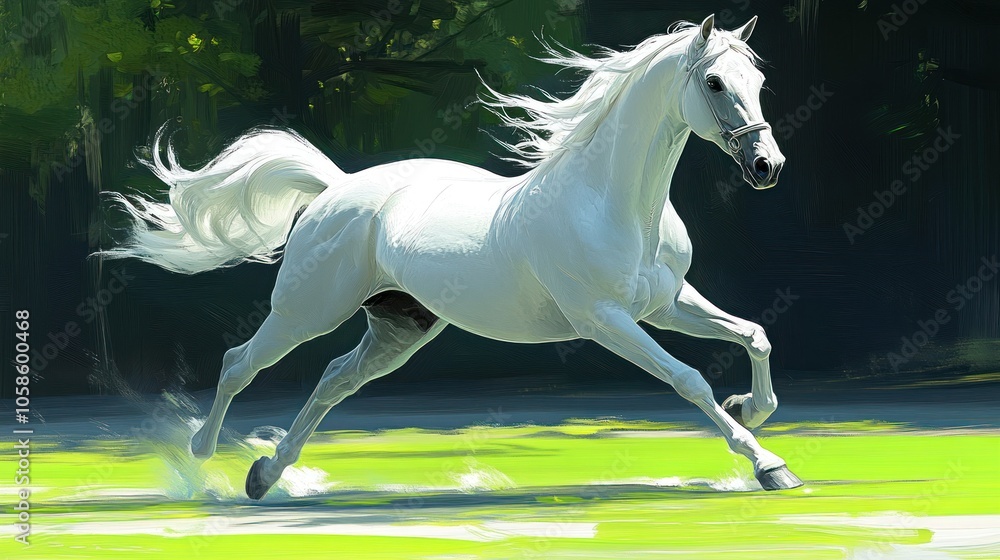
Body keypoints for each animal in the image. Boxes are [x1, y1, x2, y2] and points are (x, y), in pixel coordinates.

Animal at [99, 14, 800, 500]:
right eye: (714, 81)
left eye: (761, 80)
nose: (767, 167)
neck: (613, 204)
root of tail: (336, 189)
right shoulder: (606, 320)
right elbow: (689, 379)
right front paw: (771, 464)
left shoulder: (666, 304)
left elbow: (756, 335)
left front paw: (751, 410)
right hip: (306, 311)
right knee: (239, 363)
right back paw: (202, 455)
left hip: (398, 328)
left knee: (333, 380)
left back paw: (267, 473)